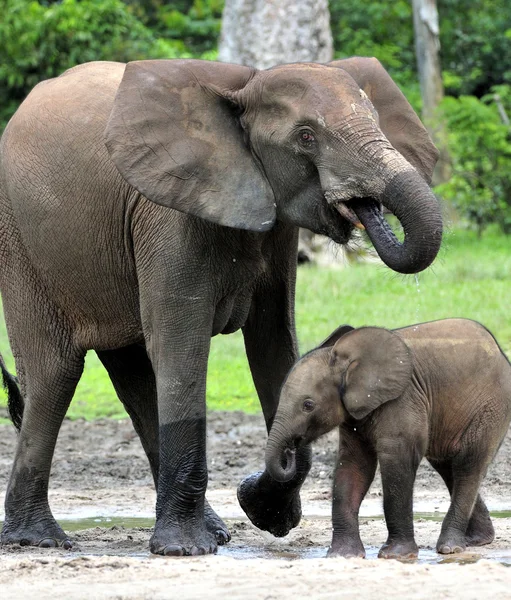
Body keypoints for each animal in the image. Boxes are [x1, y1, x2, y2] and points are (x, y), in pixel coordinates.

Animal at [0, 58, 440, 556]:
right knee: (56, 374)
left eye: (376, 120)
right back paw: (38, 539)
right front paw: (183, 550)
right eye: (306, 136)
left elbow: (274, 347)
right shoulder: (170, 213)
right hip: (22, 241)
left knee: (133, 378)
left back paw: (215, 530)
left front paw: (265, 511)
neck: (244, 91)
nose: (365, 209)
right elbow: (181, 346)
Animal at [266, 318, 511, 556]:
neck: (347, 361)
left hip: (490, 408)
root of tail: (500, 352)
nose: (290, 449)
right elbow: (353, 467)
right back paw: (477, 540)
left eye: (308, 405)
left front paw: (396, 555)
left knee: (467, 465)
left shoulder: (402, 400)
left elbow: (397, 462)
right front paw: (342, 555)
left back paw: (451, 548)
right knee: (448, 466)